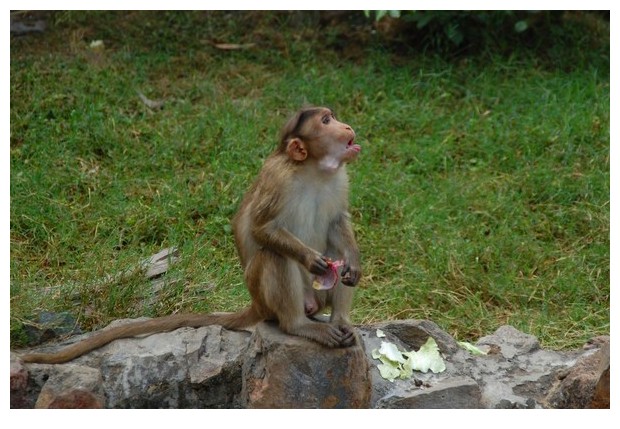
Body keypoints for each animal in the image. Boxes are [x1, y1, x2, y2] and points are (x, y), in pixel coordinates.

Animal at [20, 105, 364, 362]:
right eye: (326, 121)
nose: (346, 125)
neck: (313, 170)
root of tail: (256, 304)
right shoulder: (278, 179)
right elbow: (262, 228)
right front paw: (309, 258)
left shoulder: (341, 178)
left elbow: (337, 222)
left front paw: (353, 264)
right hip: (268, 299)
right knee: (274, 254)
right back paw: (299, 325)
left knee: (335, 254)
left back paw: (340, 319)